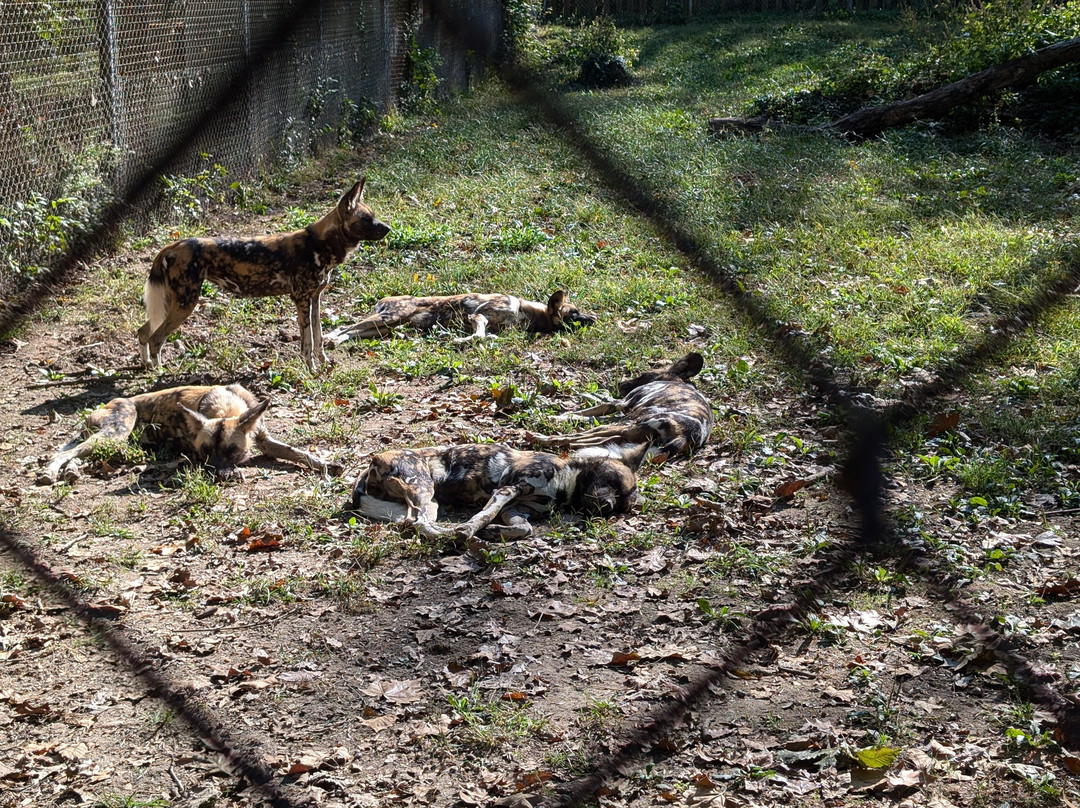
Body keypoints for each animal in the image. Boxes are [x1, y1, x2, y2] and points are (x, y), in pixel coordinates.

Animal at [38, 384, 341, 484]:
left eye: (232, 450)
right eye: (205, 451)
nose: (219, 475)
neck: (226, 406)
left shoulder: (265, 440)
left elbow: (297, 452)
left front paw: (326, 464)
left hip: (112, 442)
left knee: (76, 454)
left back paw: (70, 472)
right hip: (117, 433)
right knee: (68, 452)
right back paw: (51, 472)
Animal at [137, 178, 390, 371]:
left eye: (374, 215)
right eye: (366, 219)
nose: (388, 228)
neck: (321, 243)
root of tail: (173, 246)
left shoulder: (315, 299)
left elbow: (318, 336)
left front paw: (324, 363)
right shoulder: (301, 299)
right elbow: (307, 342)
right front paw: (311, 369)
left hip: (172, 303)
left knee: (144, 332)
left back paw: (147, 364)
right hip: (185, 304)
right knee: (156, 338)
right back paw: (160, 372)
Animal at [349, 442, 647, 540]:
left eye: (623, 504)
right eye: (614, 482)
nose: (608, 506)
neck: (565, 487)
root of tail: (373, 460)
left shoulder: (516, 507)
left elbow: (523, 528)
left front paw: (494, 533)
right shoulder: (507, 490)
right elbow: (484, 515)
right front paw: (471, 529)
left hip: (429, 501)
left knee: (414, 522)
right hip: (422, 488)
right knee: (418, 523)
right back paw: (452, 534)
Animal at [526, 352, 714, 461]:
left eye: (642, 375)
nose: (620, 384)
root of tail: (686, 435)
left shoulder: (620, 403)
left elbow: (581, 413)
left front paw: (555, 417)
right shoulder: (623, 410)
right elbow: (586, 416)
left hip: (629, 422)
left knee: (578, 437)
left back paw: (541, 438)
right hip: (630, 428)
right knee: (601, 440)